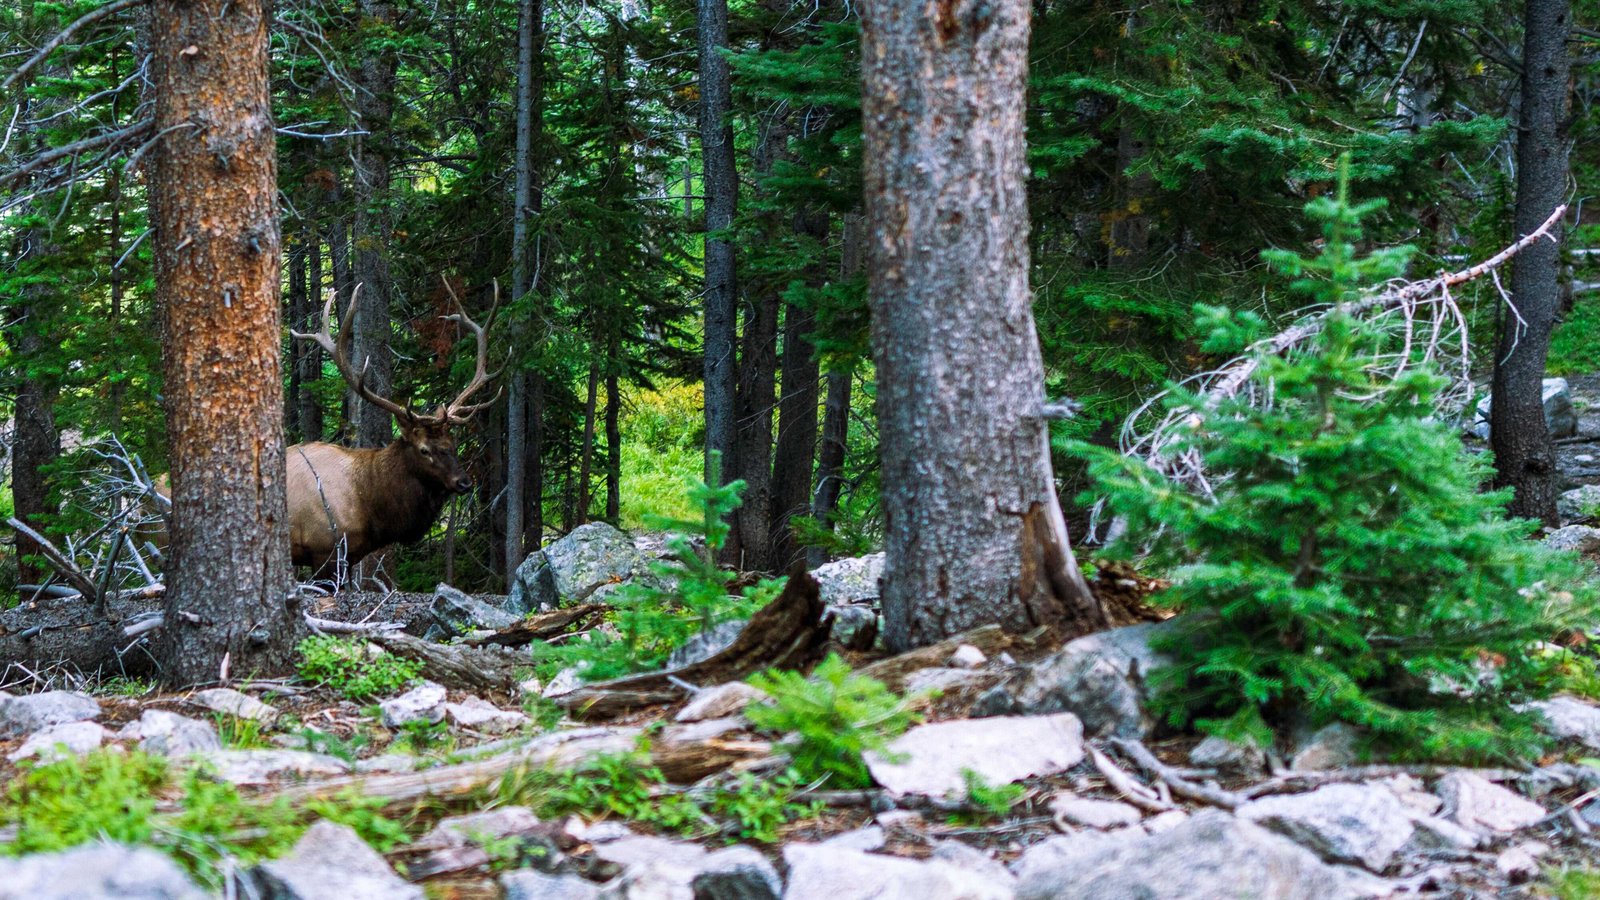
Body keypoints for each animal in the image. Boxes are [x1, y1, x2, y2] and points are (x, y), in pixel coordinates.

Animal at [284, 282, 499, 574]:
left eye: (452, 445)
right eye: (424, 450)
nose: (463, 482)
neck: (370, 507)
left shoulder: (349, 556)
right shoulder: (324, 551)